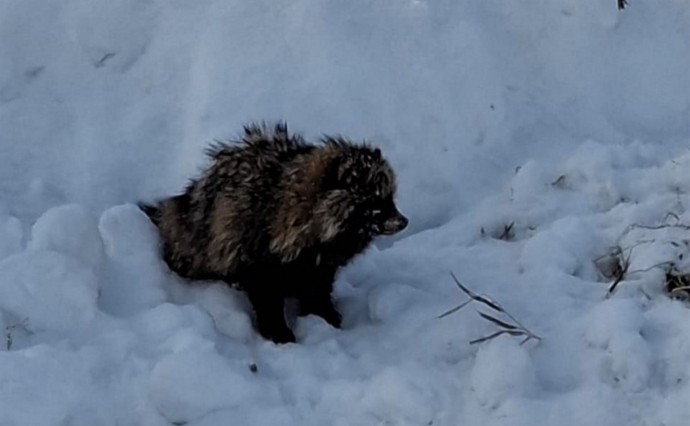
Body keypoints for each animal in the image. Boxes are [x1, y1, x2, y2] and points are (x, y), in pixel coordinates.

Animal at [142, 123, 406, 342]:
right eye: (375, 202)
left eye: (390, 198)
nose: (404, 221)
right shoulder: (258, 258)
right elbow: (267, 299)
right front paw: (279, 332)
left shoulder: (319, 266)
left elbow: (318, 291)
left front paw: (324, 316)